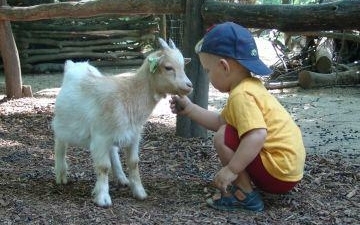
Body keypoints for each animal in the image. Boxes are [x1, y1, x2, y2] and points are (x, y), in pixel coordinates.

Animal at [52, 37, 193, 207]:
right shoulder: (100, 137)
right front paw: (103, 198)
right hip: (63, 123)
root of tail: (75, 65)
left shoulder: (133, 135)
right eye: (168, 67)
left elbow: (133, 162)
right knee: (60, 144)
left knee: (113, 151)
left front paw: (139, 191)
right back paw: (61, 174)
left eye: (183, 66)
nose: (189, 85)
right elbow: (103, 167)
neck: (129, 95)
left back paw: (121, 177)